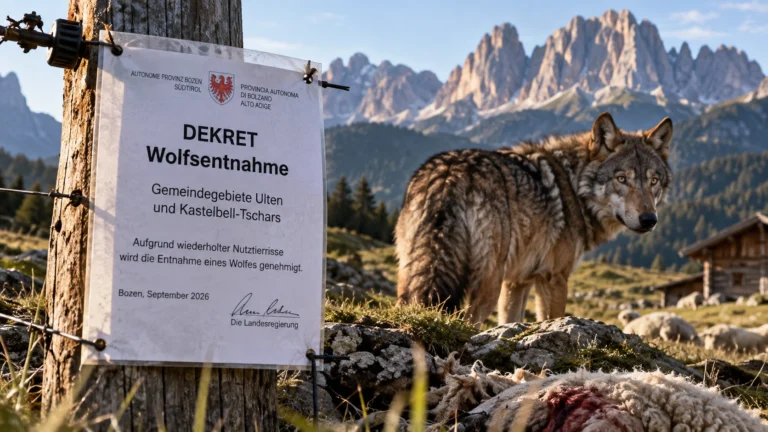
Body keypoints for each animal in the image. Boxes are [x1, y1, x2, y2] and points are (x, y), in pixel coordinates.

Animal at [395, 112, 672, 325]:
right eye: (622, 179)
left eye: (653, 181)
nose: (649, 219)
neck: (573, 186)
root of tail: (449, 174)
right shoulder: (554, 278)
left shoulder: (518, 282)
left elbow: (509, 323)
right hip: (488, 284)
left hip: (413, 273)